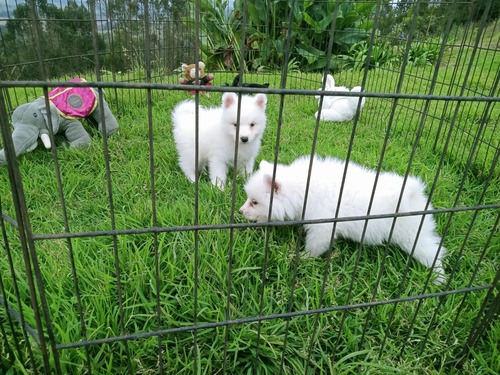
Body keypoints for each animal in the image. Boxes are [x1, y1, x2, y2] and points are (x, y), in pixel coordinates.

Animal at [240, 156, 448, 284]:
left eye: (254, 202)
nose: (241, 212)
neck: (303, 190)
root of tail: (415, 194)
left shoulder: (323, 227)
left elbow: (315, 246)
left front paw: (304, 257)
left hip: (412, 236)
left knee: (433, 253)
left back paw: (438, 278)